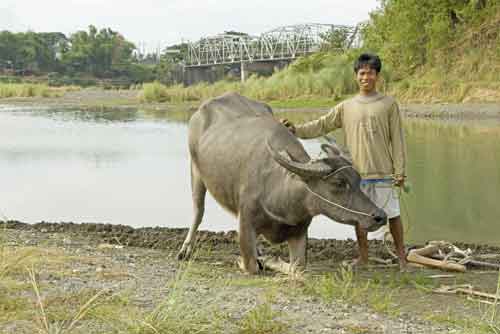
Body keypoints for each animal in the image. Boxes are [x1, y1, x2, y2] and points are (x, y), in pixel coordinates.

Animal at [177, 92, 386, 274]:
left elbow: (297, 268)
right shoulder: (245, 221)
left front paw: (270, 260)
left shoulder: (299, 231)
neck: (280, 192)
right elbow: (251, 265)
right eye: (339, 183)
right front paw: (250, 261)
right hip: (195, 171)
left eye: (358, 180)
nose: (380, 216)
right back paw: (185, 249)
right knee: (198, 210)